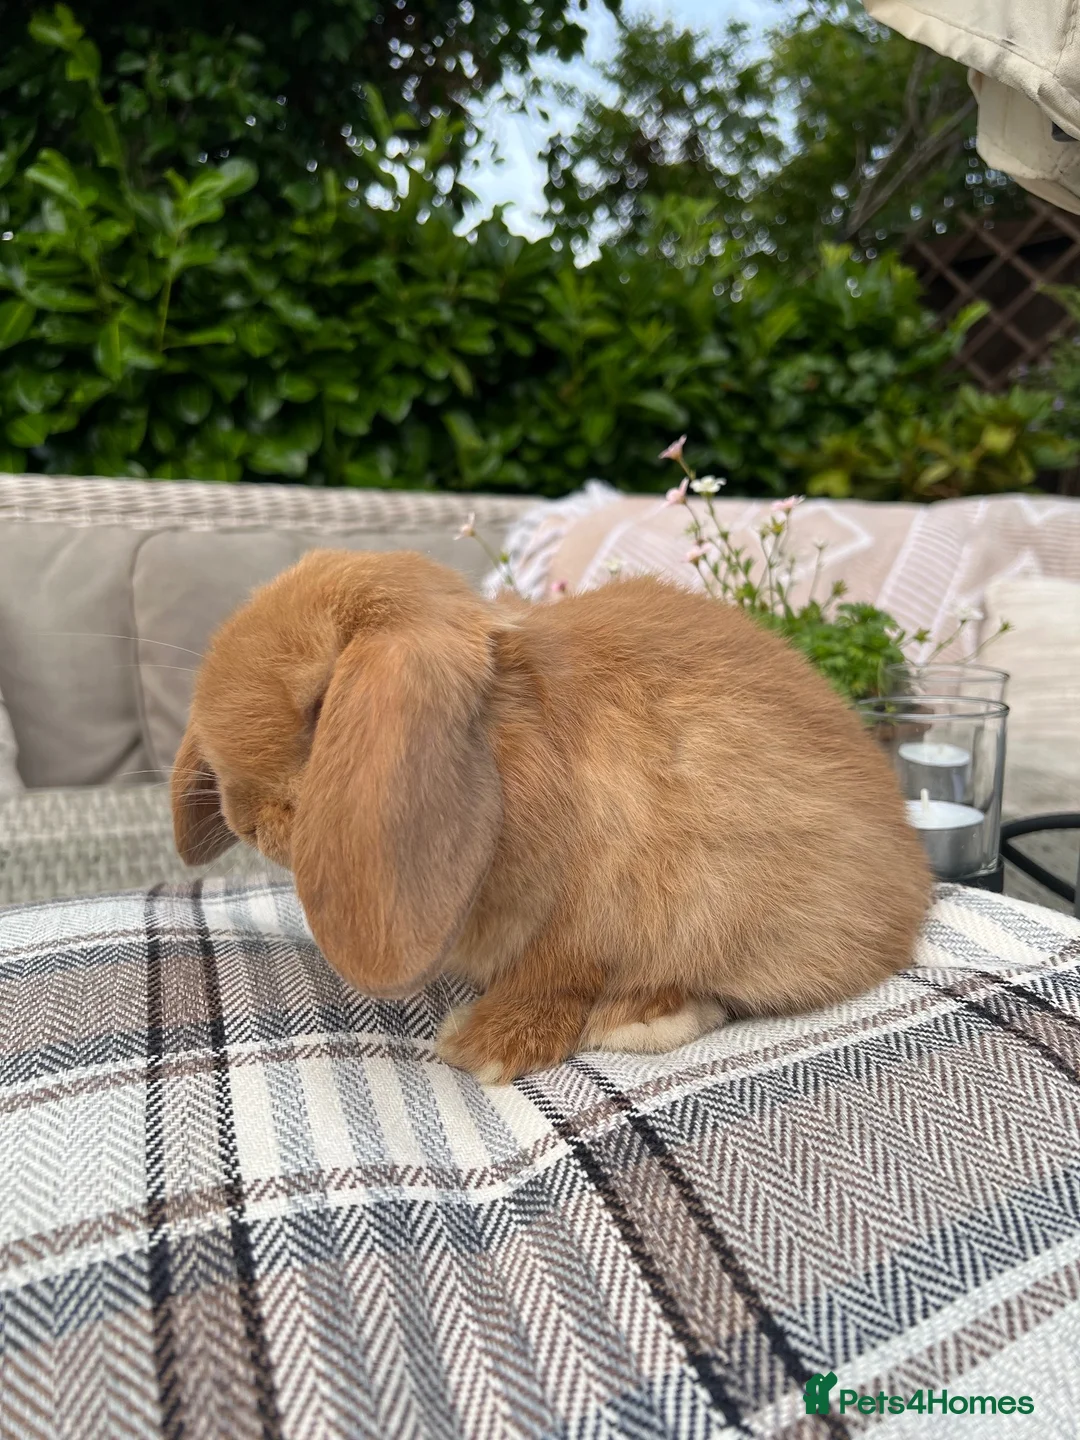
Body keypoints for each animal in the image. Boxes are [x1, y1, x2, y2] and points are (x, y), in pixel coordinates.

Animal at [172, 547, 932, 1084]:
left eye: (321, 707)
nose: (244, 819)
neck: (506, 738)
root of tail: (914, 890)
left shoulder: (585, 915)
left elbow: (552, 977)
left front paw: (481, 1047)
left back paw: (637, 1018)